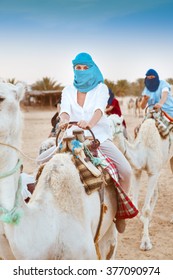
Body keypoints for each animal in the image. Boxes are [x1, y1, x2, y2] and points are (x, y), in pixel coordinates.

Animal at [109, 114, 172, 252]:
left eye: (118, 123)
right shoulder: (137, 171)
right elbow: (136, 206)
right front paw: (144, 222)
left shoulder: (153, 172)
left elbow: (146, 209)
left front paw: (146, 242)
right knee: (156, 193)